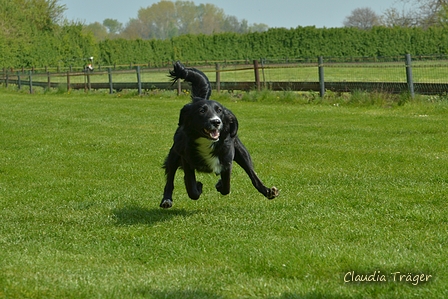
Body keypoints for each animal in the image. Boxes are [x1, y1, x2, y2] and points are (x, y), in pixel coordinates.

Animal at [159, 61, 278, 209]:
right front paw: (198, 186)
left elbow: (227, 186)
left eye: (219, 110)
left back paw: (267, 191)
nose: (216, 122)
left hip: (242, 153)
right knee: (170, 177)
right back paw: (166, 199)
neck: (207, 142)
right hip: (174, 154)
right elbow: (192, 190)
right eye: (202, 111)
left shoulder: (227, 161)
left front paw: (220, 185)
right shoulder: (186, 160)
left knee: (252, 174)